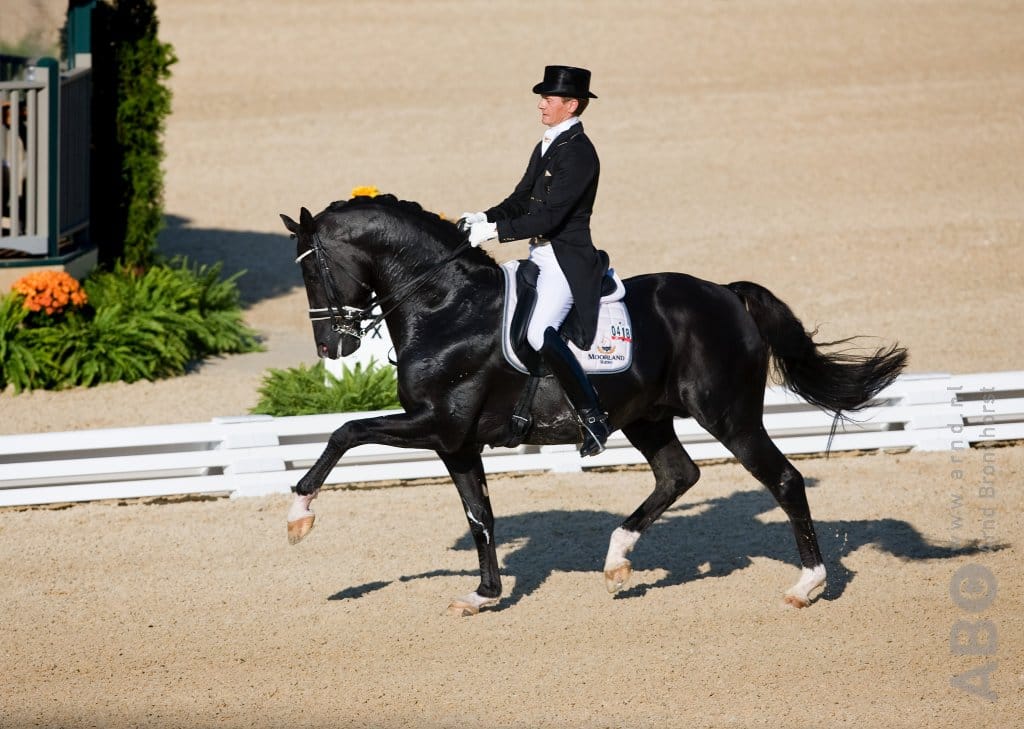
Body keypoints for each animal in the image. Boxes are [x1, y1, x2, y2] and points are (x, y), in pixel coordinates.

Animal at [280, 194, 907, 616]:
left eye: (311, 269)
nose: (332, 348)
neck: (446, 306)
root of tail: (727, 294)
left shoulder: (437, 425)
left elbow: (345, 431)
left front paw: (299, 516)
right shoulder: (455, 443)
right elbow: (479, 515)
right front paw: (484, 595)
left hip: (727, 415)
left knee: (783, 479)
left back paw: (807, 586)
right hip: (647, 418)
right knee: (678, 475)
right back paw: (616, 561)